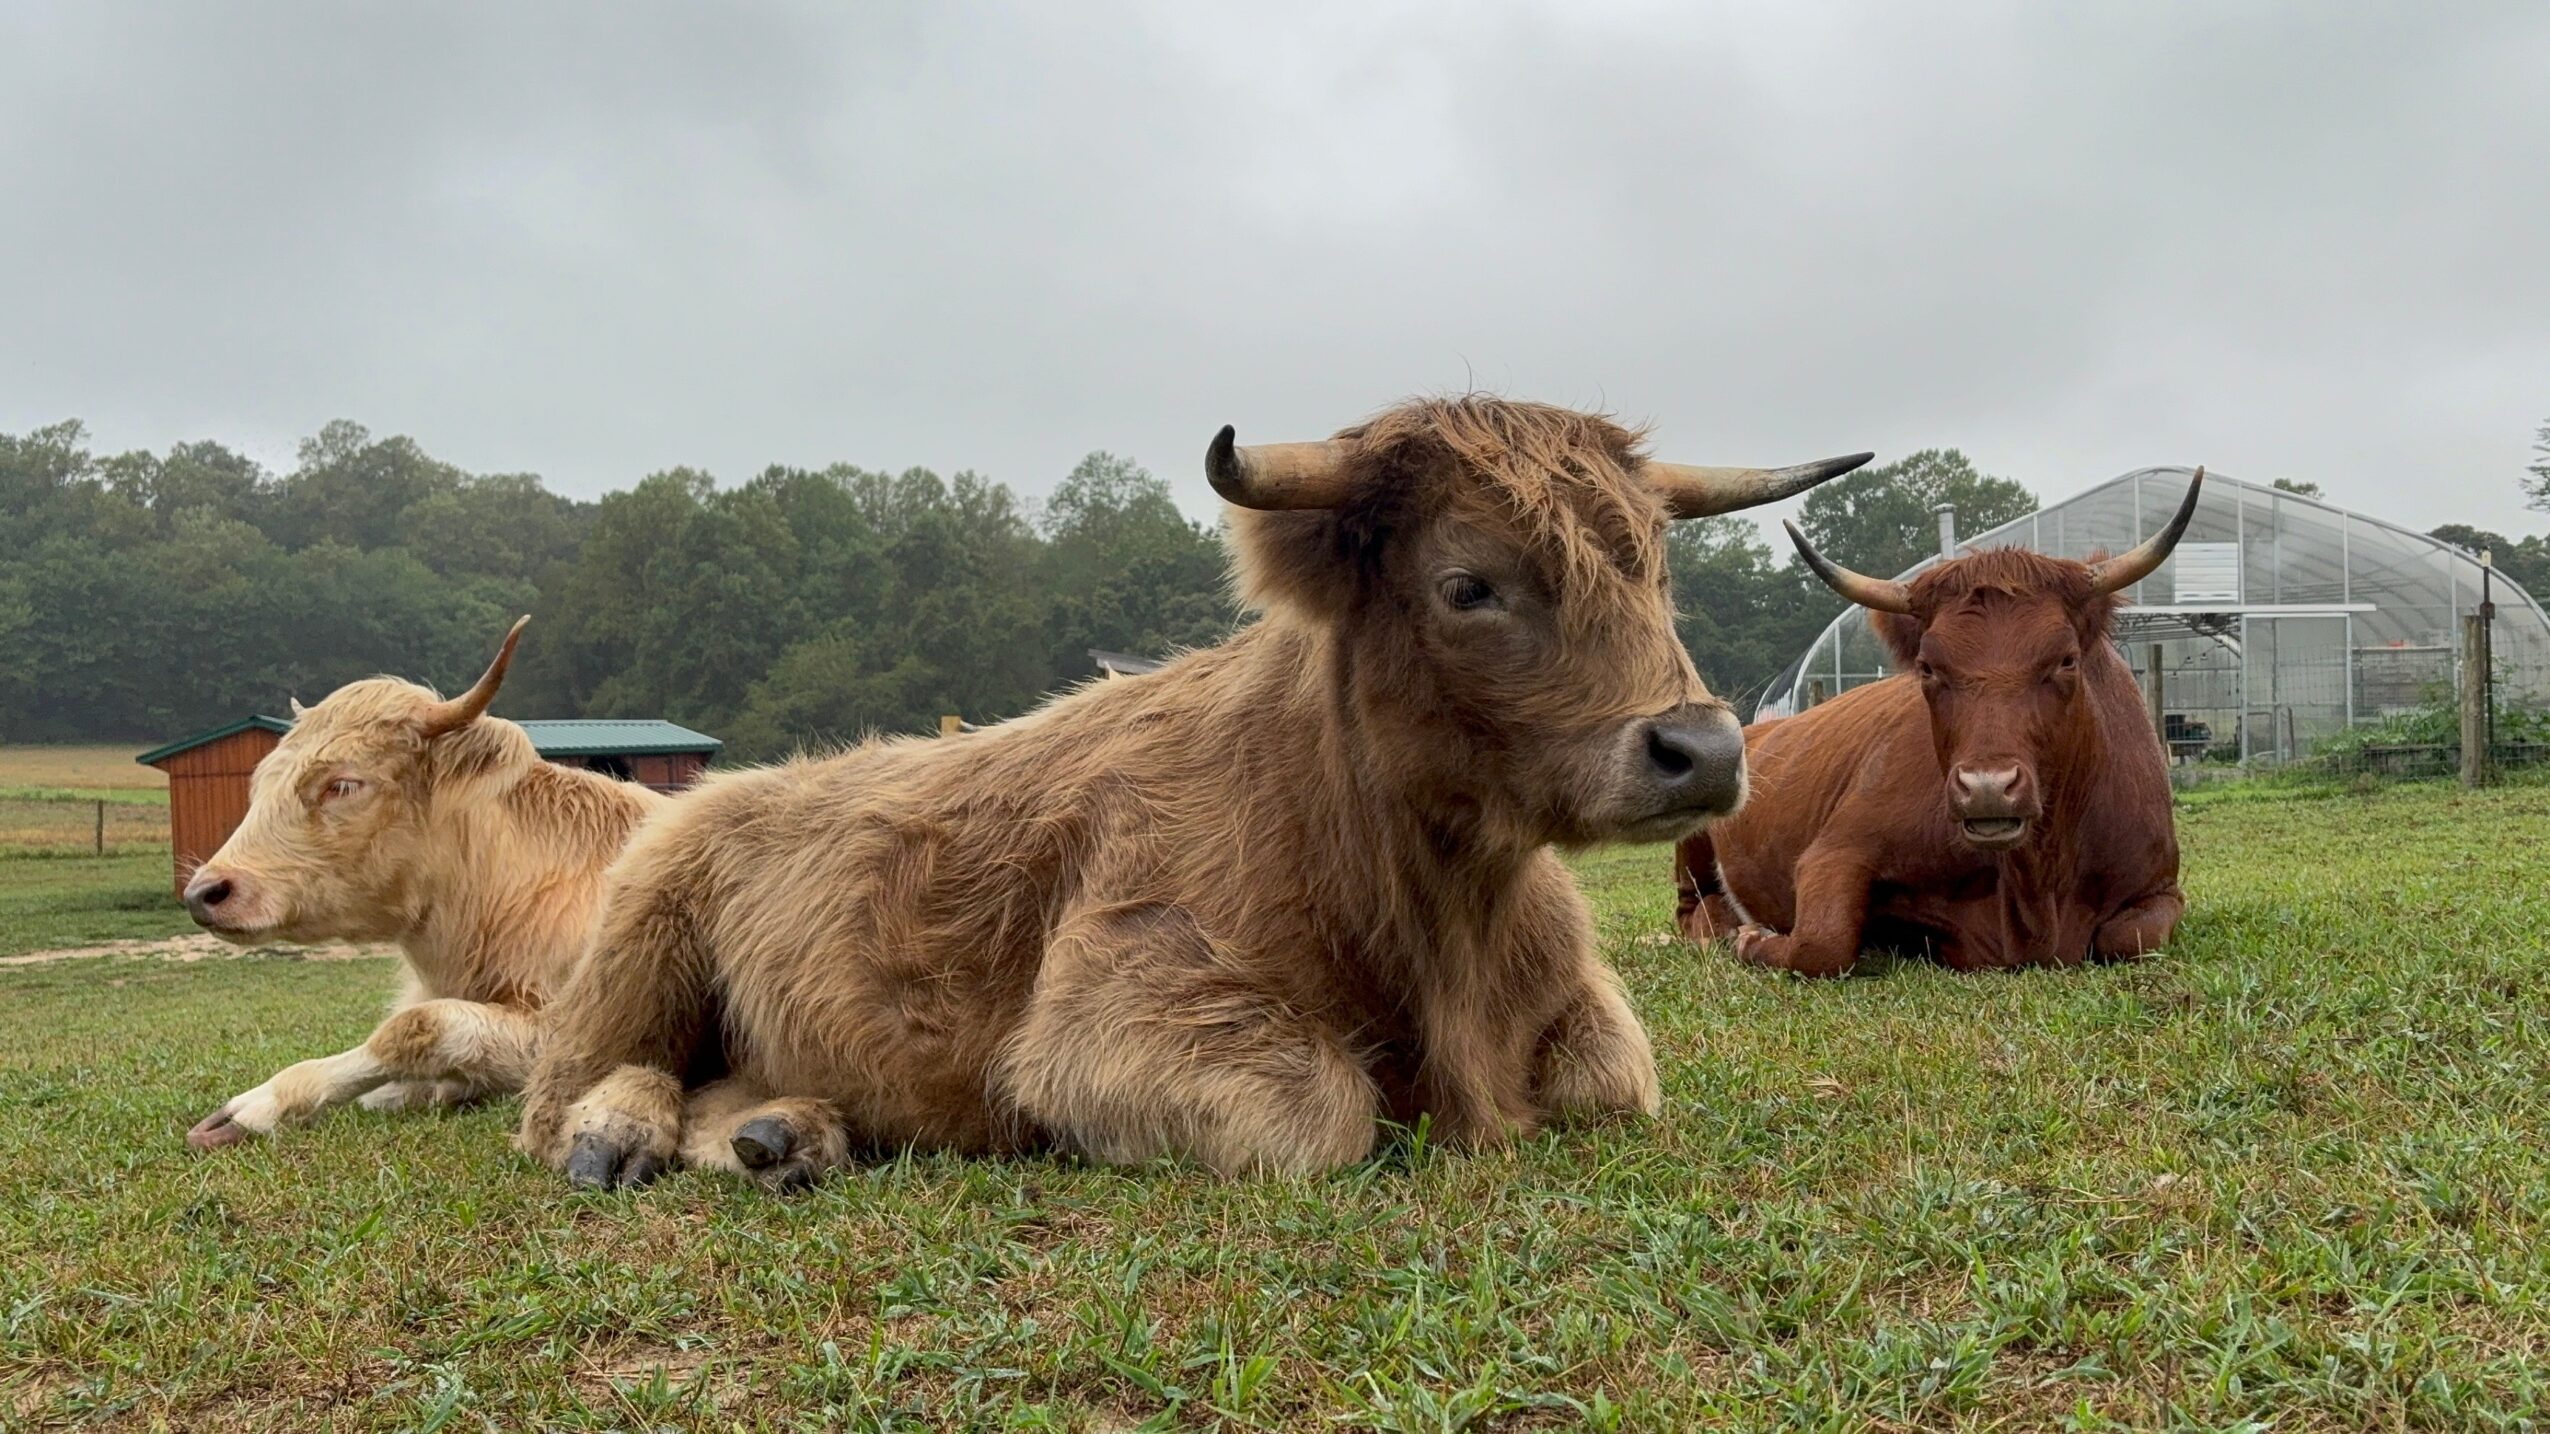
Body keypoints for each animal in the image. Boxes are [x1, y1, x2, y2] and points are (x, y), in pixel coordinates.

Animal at [516, 397, 1873, 1189]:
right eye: (1468, 584)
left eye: (1655, 568)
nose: (1703, 748)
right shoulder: (1109, 1018)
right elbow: (1323, 1114)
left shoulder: (1581, 1025)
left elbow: (1608, 1080)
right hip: (631, 954)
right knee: (562, 1090)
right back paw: (617, 1135)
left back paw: (783, 1136)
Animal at [1674, 471, 2201, 976]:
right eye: (1927, 667)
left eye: (2067, 660)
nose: (1987, 787)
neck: (2035, 886)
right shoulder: (1837, 849)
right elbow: (1822, 943)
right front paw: (1755, 940)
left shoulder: (2161, 885)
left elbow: (2133, 937)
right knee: (1693, 910)